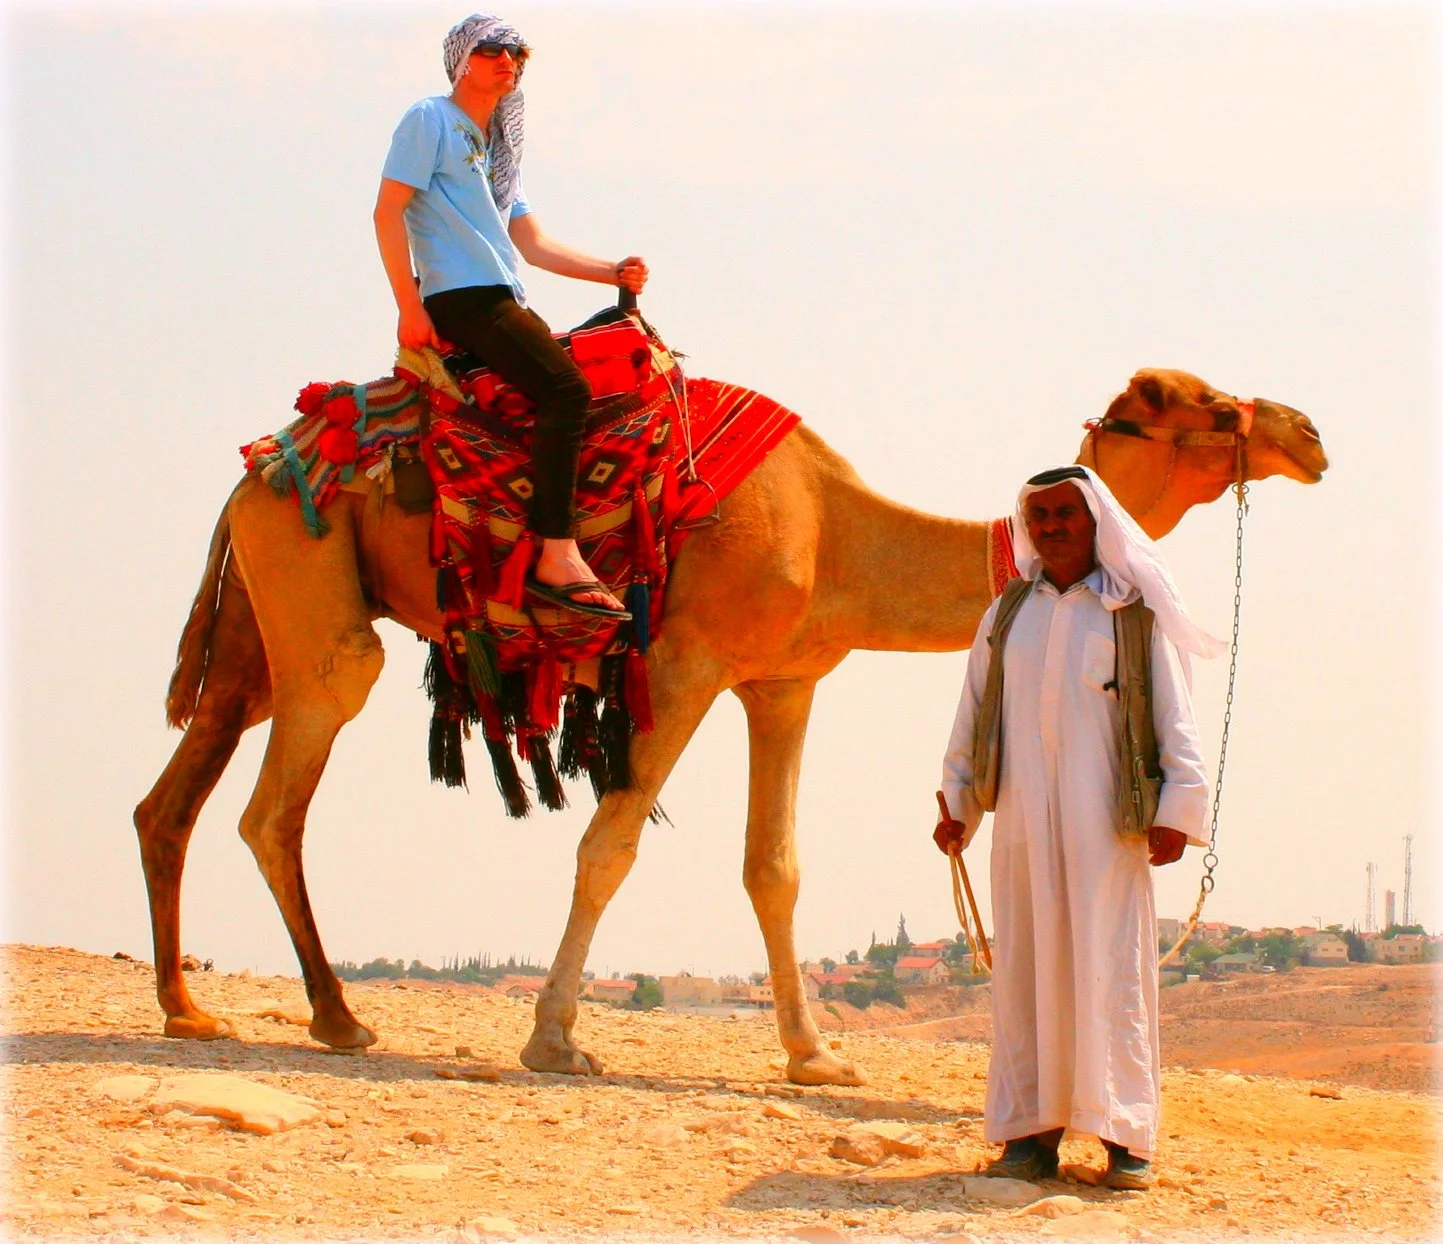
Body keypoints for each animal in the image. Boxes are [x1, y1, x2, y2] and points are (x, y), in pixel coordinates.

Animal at [135, 366, 1327, 1085]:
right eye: (1204, 402)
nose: (1307, 430)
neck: (838, 530)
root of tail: (259, 468)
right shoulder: (684, 660)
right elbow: (610, 844)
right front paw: (554, 1039)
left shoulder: (783, 682)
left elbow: (774, 867)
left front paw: (816, 1055)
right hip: (316, 590)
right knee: (275, 802)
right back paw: (336, 1018)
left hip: (257, 624)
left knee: (174, 797)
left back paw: (187, 1008)